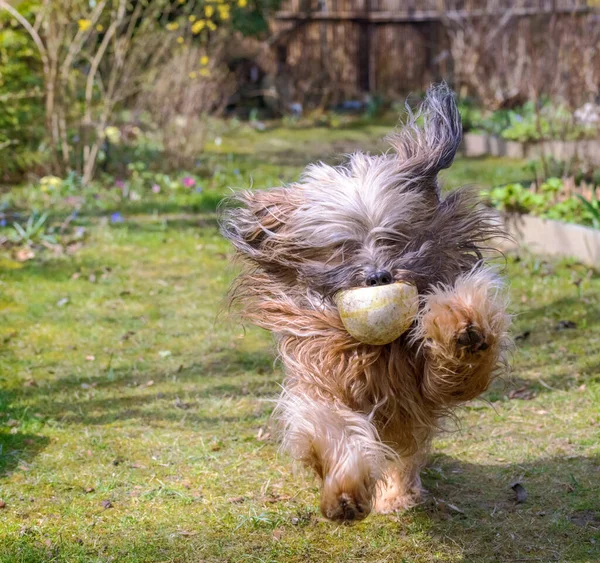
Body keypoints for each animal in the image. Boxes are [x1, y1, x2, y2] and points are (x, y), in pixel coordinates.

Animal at [220, 85, 510, 524]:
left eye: (394, 237)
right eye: (343, 248)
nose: (377, 277)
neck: (374, 351)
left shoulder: (427, 388)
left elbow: (455, 363)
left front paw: (461, 325)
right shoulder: (320, 379)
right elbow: (331, 425)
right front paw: (343, 492)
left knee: (404, 458)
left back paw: (396, 496)